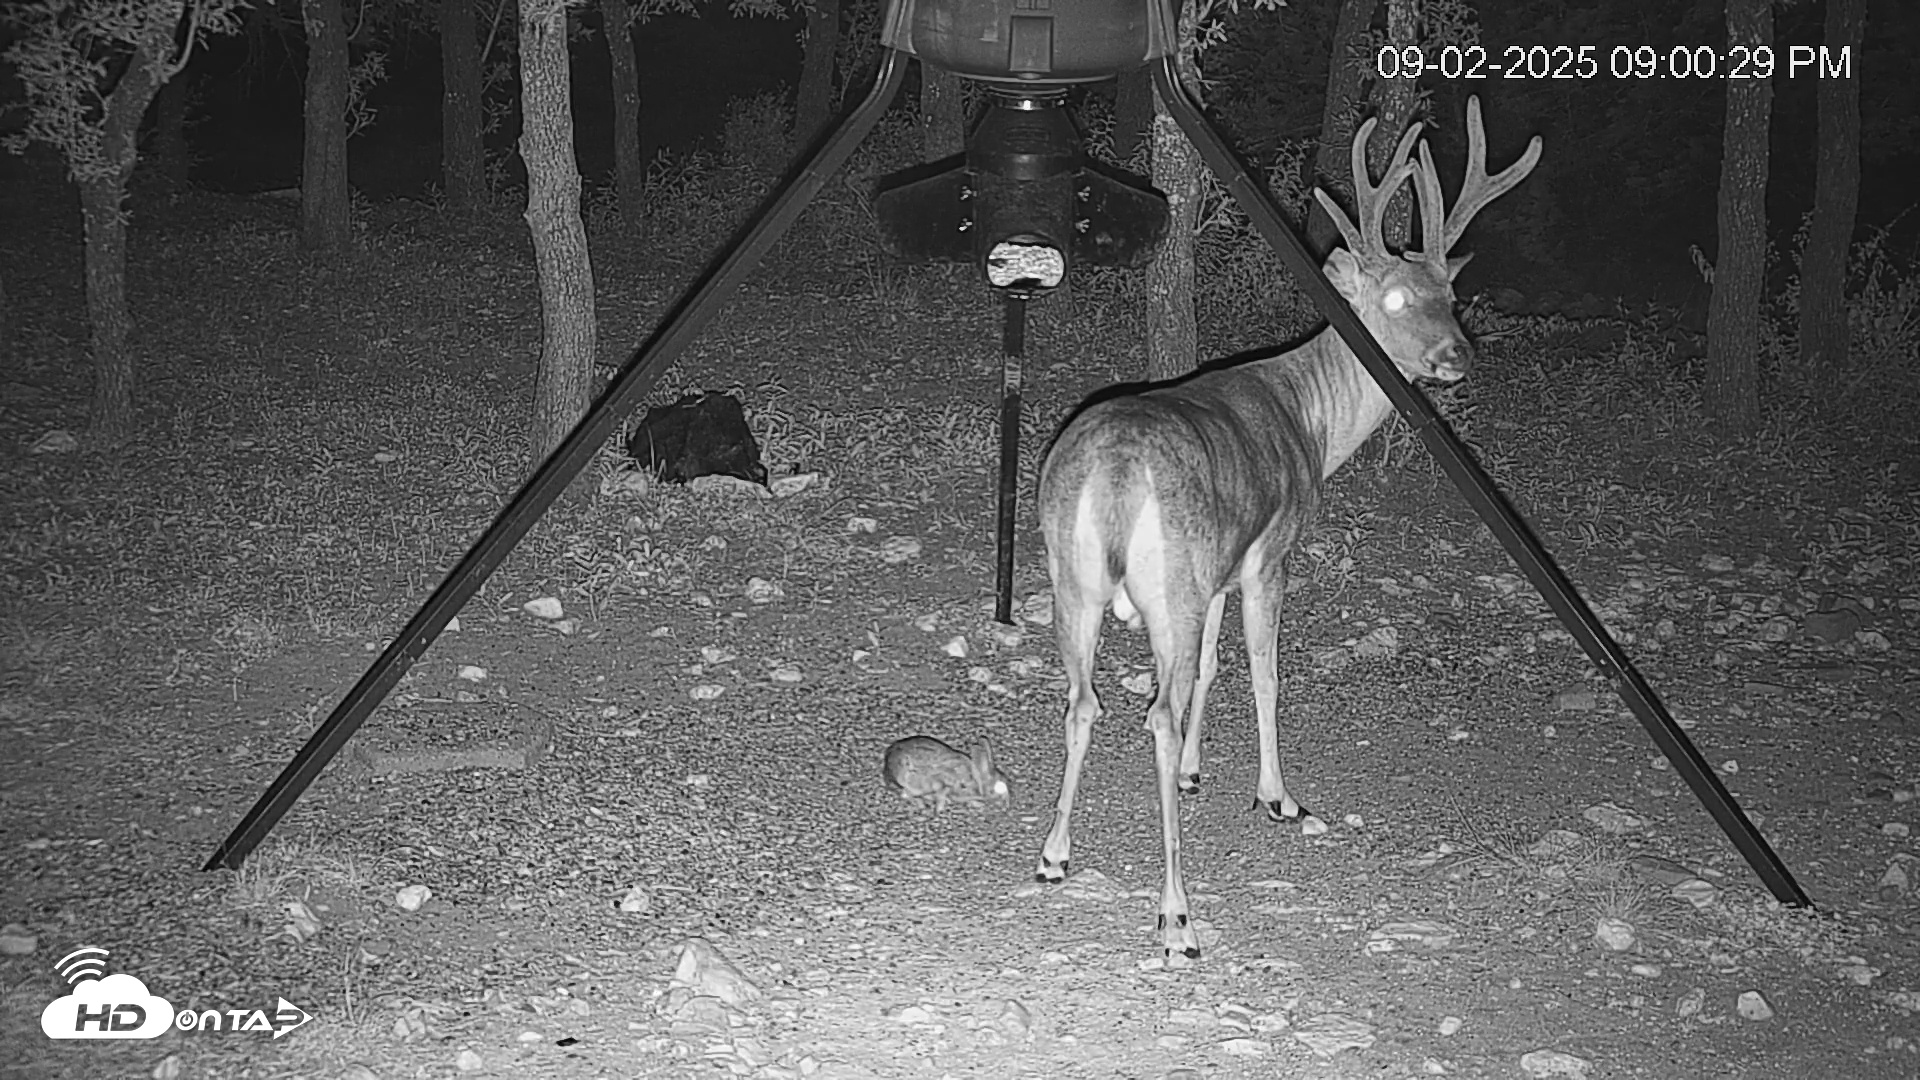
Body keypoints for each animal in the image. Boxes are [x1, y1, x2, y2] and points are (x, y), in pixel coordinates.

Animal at [1032, 97, 1541, 960]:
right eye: (1396, 301)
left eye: (1449, 290)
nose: (1457, 358)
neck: (1313, 419)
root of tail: (1115, 472)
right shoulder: (1270, 552)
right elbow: (1267, 674)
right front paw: (1278, 796)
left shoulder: (1219, 570)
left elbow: (1211, 668)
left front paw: (1197, 772)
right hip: (1166, 583)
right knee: (1151, 712)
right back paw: (1177, 915)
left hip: (1081, 580)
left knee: (1083, 701)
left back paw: (1054, 855)